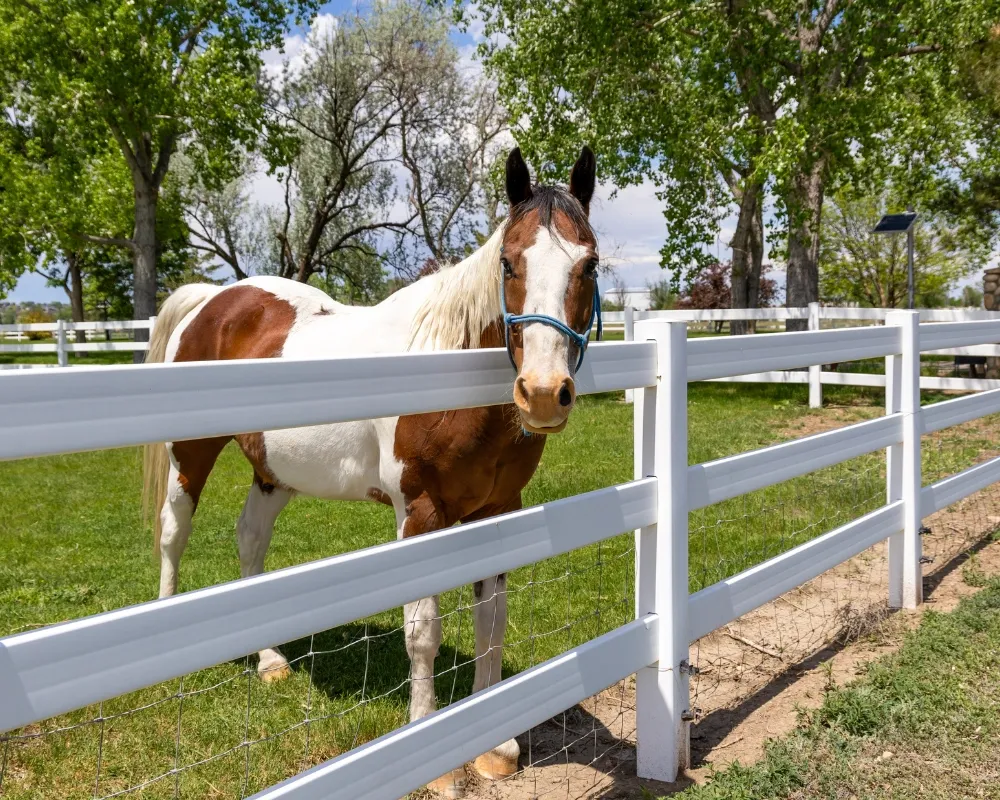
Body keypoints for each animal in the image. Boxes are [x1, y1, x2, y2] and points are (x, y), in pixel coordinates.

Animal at [141, 146, 601, 798]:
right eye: (509, 262)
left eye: (589, 264)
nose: (542, 393)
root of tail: (214, 301)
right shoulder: (420, 514)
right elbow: (423, 631)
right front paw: (436, 755)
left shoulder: (497, 511)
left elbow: (491, 620)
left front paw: (495, 743)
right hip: (192, 450)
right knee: (174, 530)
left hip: (272, 474)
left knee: (250, 540)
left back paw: (270, 661)